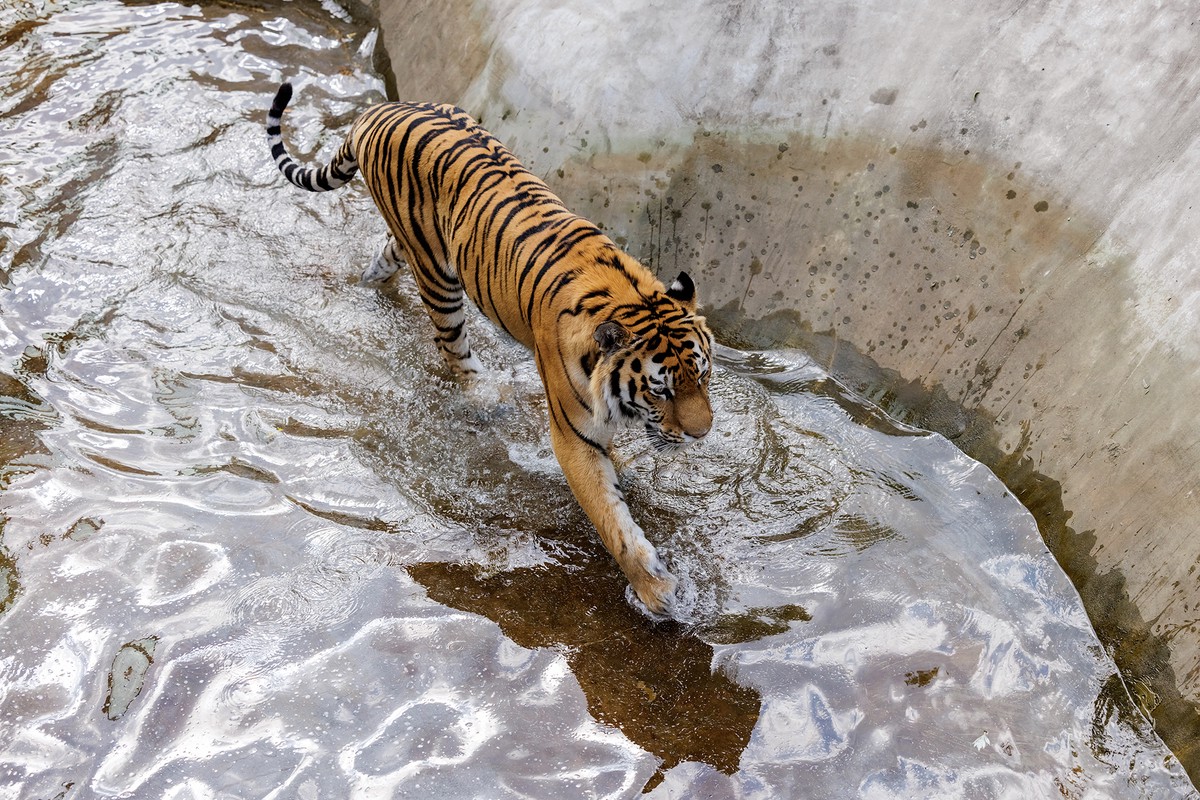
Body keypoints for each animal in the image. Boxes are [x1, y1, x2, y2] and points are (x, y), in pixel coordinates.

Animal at [265, 82, 714, 616]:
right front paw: (657, 592)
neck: (628, 297)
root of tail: (377, 111)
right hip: (438, 276)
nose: (703, 434)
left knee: (384, 258)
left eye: (703, 376)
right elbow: (612, 519)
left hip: (414, 250)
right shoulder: (574, 436)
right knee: (451, 345)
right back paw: (486, 398)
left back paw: (366, 283)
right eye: (661, 391)